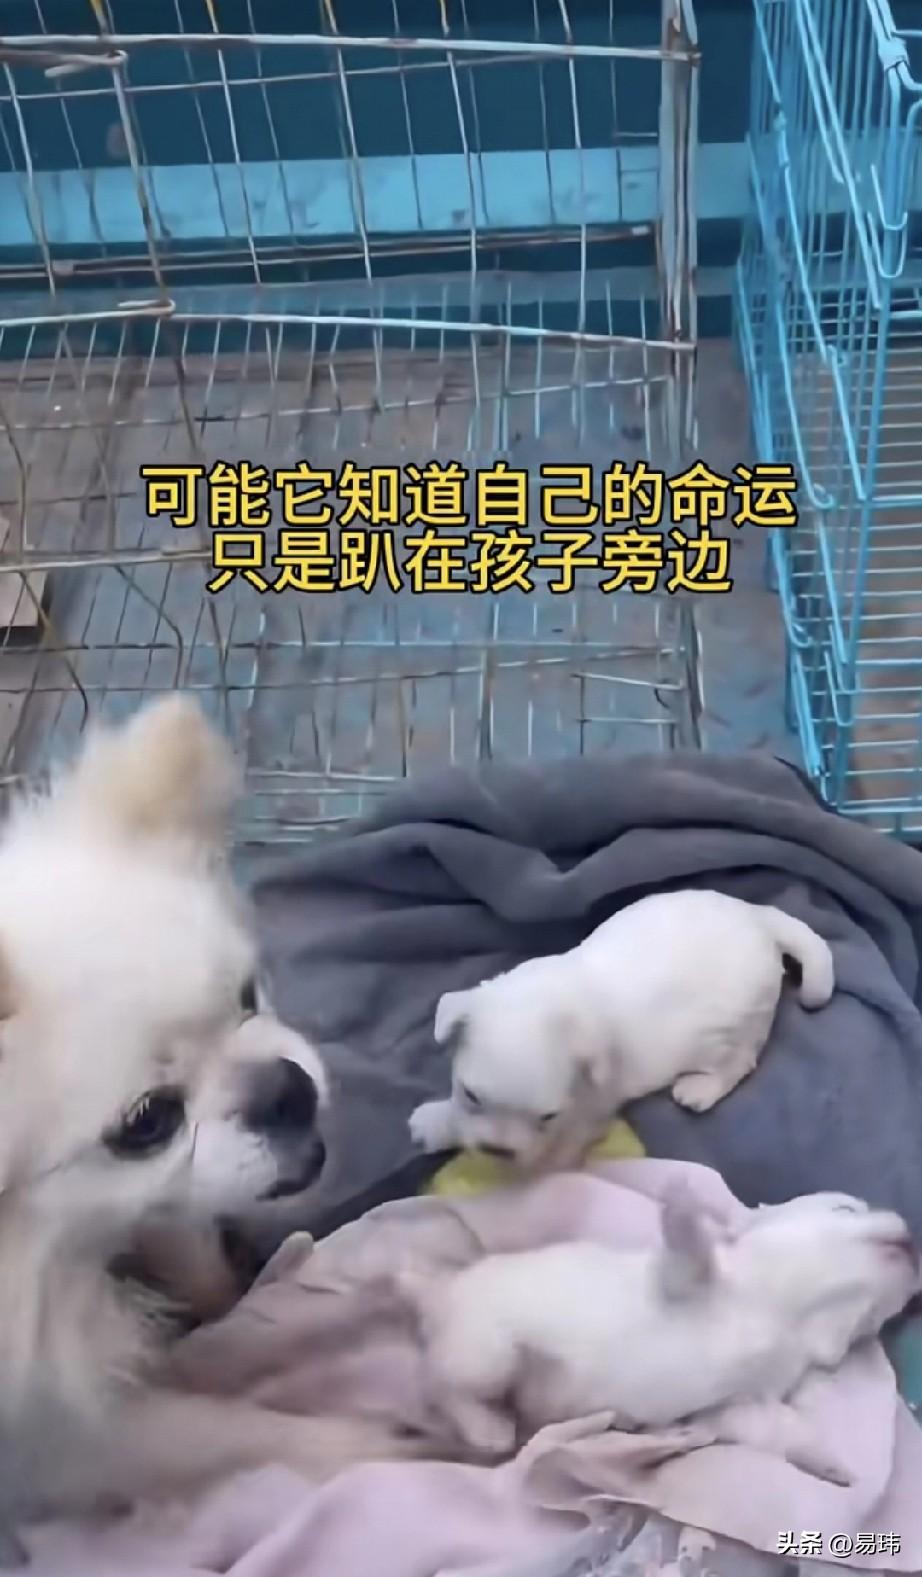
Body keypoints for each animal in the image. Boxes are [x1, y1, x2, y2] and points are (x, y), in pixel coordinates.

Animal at [0, 695, 424, 1561]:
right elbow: (210, 1431)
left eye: (246, 995)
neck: (29, 1262)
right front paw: (365, 1448)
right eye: (147, 1121)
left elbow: (184, 1245)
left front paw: (219, 1288)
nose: (286, 1089)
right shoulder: (52, 1433)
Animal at [395, 1187, 918, 1477]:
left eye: (876, 1318)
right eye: (845, 1210)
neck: (783, 1315)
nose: (913, 1238)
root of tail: (438, 1292)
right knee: (438, 1384)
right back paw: (487, 1429)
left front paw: (828, 1463)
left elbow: (780, 1429)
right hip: (487, 1353)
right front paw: (684, 1210)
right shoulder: (677, 1283)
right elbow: (691, 1257)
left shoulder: (739, 1405)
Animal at [409, 890, 834, 1171]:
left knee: (739, 1061)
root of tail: (758, 918)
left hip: (736, 1029)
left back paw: (700, 1088)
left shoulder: (586, 1114)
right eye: (470, 1095)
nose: (498, 1151)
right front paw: (438, 1122)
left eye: (548, 1117)